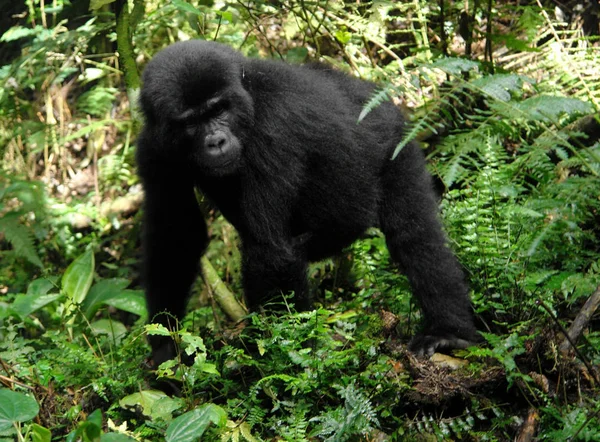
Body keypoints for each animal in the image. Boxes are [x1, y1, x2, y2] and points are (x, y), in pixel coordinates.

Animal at [136, 39, 478, 364]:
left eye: (219, 109)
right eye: (191, 121)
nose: (216, 141)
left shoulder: (271, 129)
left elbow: (269, 250)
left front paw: (272, 360)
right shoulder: (154, 144)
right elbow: (178, 236)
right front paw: (166, 347)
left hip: (396, 141)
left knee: (415, 234)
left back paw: (448, 330)